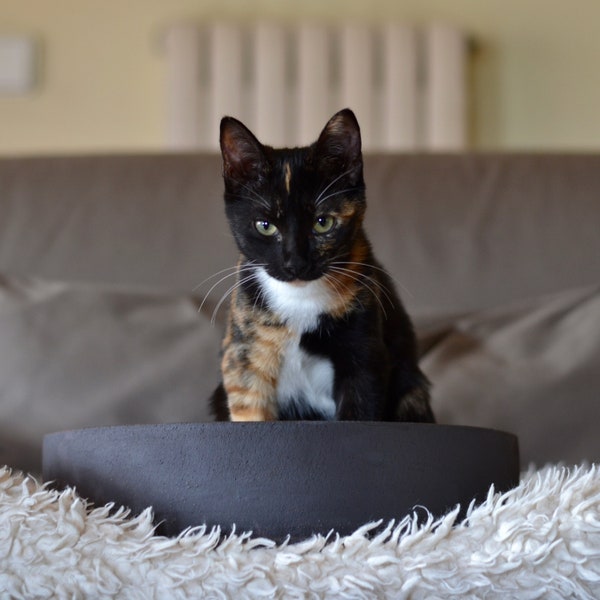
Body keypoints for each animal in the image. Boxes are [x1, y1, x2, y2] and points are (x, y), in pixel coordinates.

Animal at [209, 110, 434, 424]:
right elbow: (250, 410)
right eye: (265, 225)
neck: (300, 301)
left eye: (322, 223)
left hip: (412, 393)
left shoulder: (366, 353)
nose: (295, 263)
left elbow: (358, 409)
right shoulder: (243, 355)